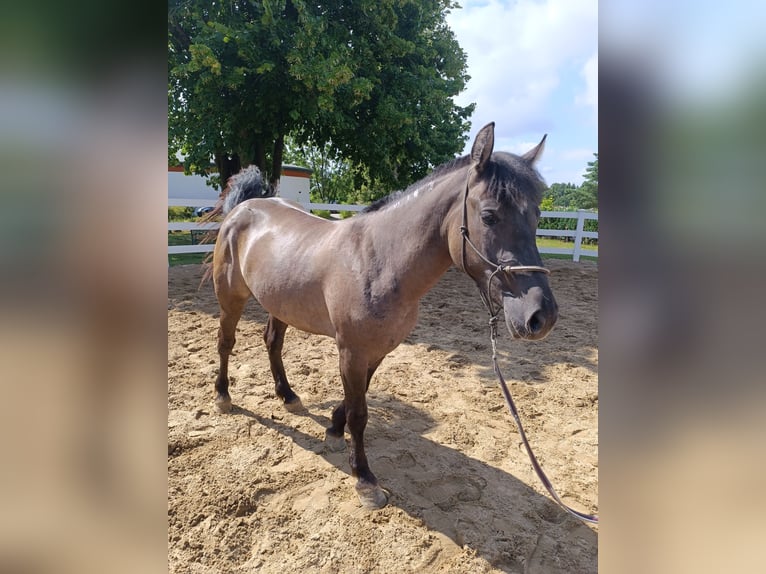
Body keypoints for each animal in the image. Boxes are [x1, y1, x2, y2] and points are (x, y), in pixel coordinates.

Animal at [209, 122, 558, 509]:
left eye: (537, 216)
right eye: (488, 216)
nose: (541, 315)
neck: (380, 262)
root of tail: (245, 207)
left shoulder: (377, 351)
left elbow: (355, 399)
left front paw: (333, 431)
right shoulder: (352, 351)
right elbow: (359, 413)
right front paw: (365, 479)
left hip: (280, 303)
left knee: (272, 342)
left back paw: (288, 396)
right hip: (231, 299)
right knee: (226, 342)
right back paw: (223, 397)